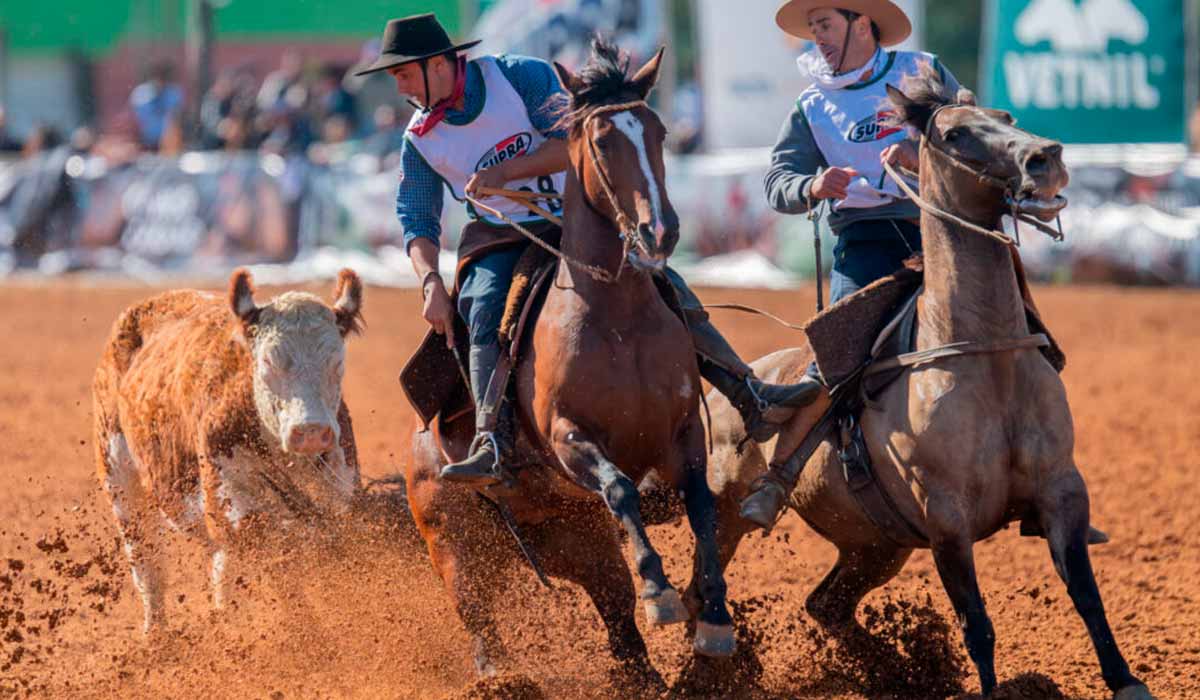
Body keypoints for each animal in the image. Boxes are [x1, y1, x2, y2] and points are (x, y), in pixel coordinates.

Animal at [405, 41, 729, 686]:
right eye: (602, 140)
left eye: (657, 131)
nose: (660, 231)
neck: (615, 316)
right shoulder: (569, 438)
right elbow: (622, 489)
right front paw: (662, 593)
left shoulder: (683, 434)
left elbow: (702, 504)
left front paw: (713, 617)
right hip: (454, 548)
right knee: (481, 623)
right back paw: (499, 678)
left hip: (582, 541)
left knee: (621, 628)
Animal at [696, 67, 1152, 700]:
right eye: (956, 134)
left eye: (1006, 118)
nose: (1047, 157)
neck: (985, 356)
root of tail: (735, 387)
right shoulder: (946, 520)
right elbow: (977, 623)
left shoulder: (1063, 489)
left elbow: (1087, 596)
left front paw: (1126, 680)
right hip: (727, 514)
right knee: (703, 592)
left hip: (874, 544)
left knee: (826, 605)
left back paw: (888, 671)